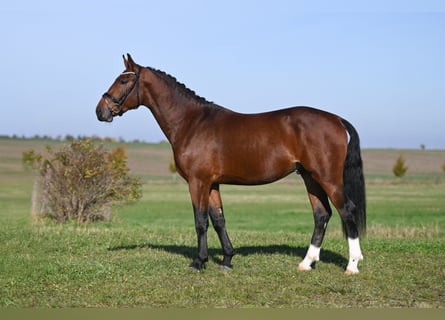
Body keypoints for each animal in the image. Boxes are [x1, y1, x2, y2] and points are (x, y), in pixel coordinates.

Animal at [94, 53, 364, 274]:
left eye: (123, 81)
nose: (100, 111)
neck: (191, 122)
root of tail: (336, 119)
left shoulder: (197, 182)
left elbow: (200, 221)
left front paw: (198, 262)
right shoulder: (212, 184)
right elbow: (218, 220)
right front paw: (226, 260)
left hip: (327, 178)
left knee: (347, 211)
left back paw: (352, 265)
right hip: (309, 177)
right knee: (322, 214)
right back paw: (306, 263)